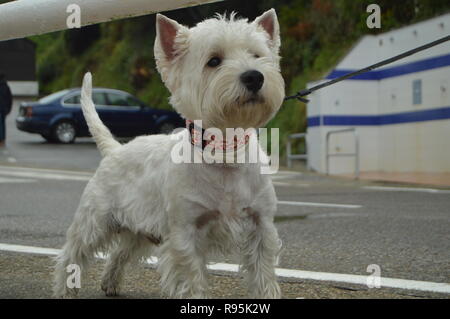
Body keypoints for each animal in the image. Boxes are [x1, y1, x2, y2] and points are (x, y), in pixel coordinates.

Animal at [53, 8, 284, 300]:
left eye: (256, 55)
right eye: (214, 61)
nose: (254, 77)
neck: (224, 153)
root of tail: (115, 148)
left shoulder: (260, 224)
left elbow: (263, 273)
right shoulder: (185, 230)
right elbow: (191, 277)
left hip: (140, 228)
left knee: (119, 251)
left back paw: (110, 284)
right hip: (95, 219)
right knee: (72, 253)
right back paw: (64, 290)